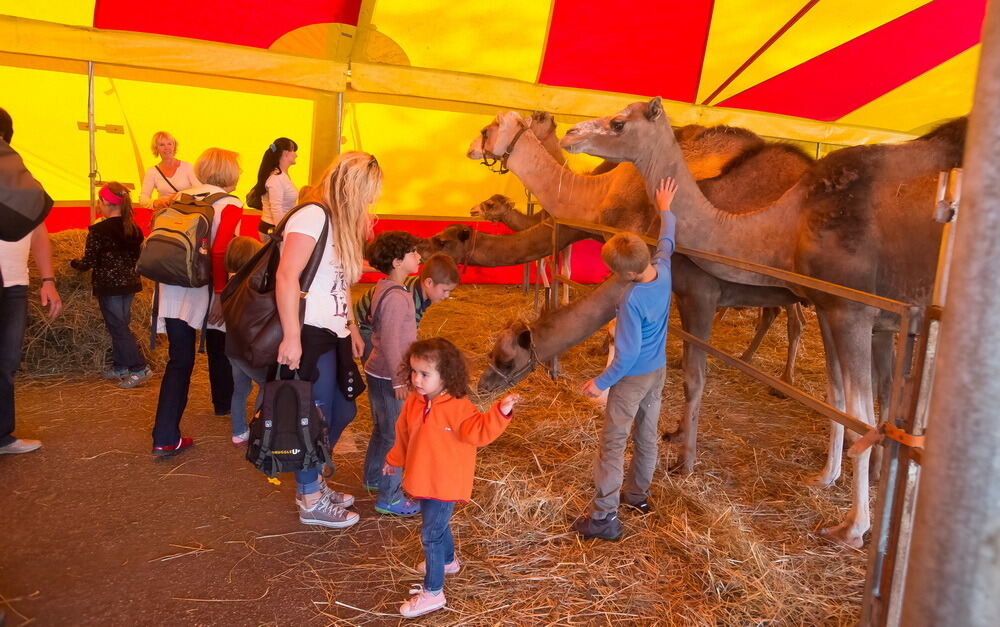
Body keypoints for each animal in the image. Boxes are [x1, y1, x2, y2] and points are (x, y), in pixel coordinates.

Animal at [560, 95, 964, 548]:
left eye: (618, 122)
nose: (569, 134)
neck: (787, 223)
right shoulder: (827, 305)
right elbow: (838, 399)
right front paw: (825, 477)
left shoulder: (852, 308)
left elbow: (861, 414)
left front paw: (852, 528)